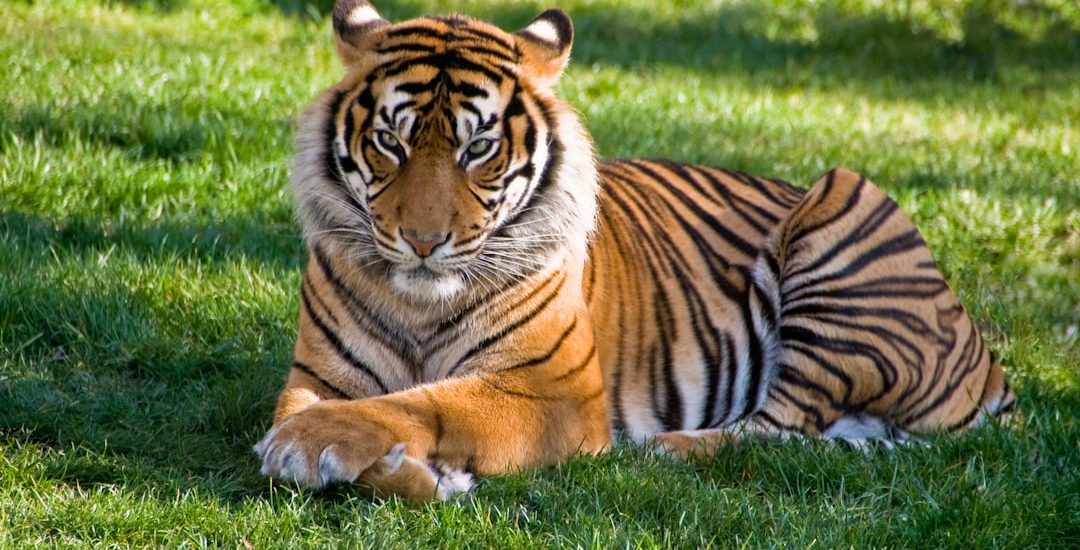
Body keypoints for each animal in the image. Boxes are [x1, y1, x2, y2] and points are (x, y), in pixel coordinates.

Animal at [253, 0, 1014, 501]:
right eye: (391, 142)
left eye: (479, 148)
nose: (422, 242)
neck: (419, 304)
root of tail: (988, 363)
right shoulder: (319, 372)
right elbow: (317, 408)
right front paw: (404, 471)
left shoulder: (551, 390)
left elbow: (426, 403)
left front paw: (317, 447)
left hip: (844, 201)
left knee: (778, 422)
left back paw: (668, 448)